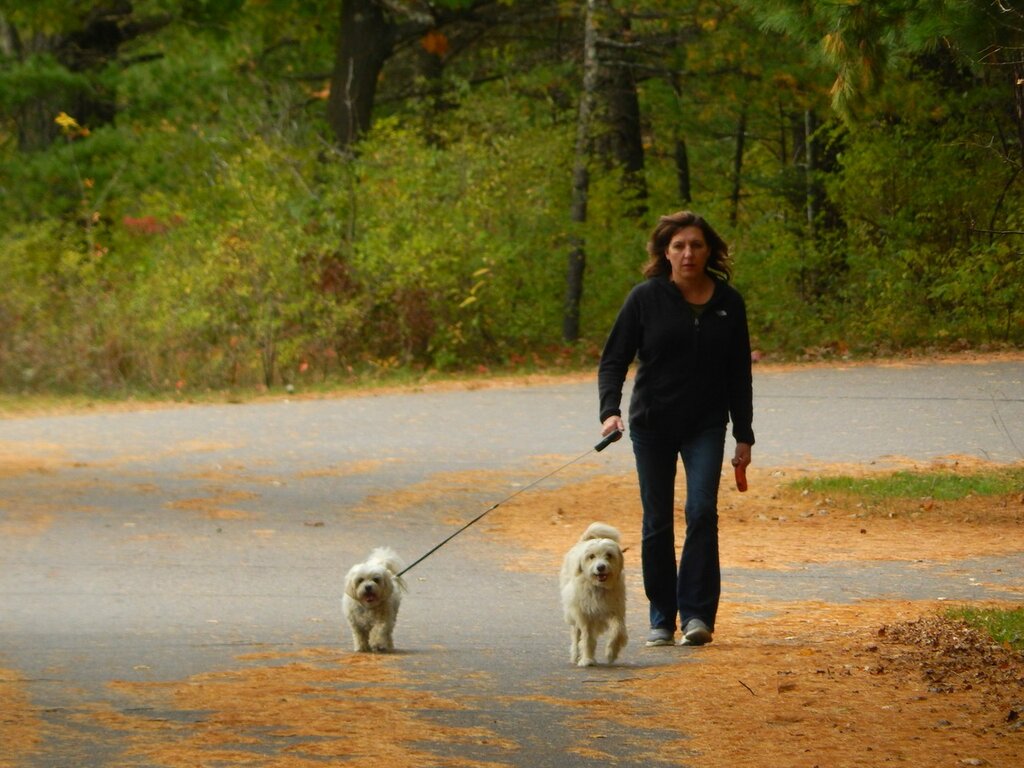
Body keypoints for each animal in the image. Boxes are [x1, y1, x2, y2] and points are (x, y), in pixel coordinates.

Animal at [561, 524, 622, 667]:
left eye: (609, 555)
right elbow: (587, 637)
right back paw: (576, 655)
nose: (600, 567)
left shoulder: (615, 611)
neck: (598, 587)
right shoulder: (584, 615)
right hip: (572, 612)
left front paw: (611, 653)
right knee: (576, 634)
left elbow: (618, 630)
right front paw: (586, 659)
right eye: (591, 556)